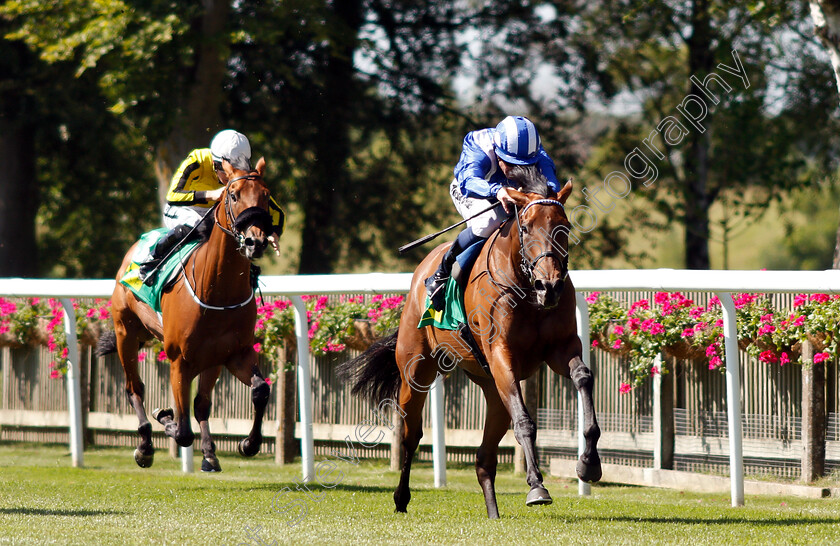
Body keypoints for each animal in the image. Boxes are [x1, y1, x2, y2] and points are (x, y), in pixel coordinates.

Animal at [95, 158, 274, 472]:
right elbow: (182, 431)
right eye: (233, 195)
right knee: (134, 388)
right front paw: (165, 417)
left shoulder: (233, 354)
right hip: (125, 332)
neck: (218, 290)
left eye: (266, 195)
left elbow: (260, 391)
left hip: (208, 359)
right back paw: (145, 446)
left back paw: (210, 454)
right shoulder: (179, 360)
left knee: (201, 404)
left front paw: (248, 444)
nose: (256, 242)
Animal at [338, 181, 600, 516]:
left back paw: (494, 514)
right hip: (416, 372)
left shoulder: (560, 348)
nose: (550, 286)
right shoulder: (501, 355)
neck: (526, 291)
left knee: (484, 459)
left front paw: (589, 464)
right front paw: (536, 486)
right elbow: (524, 422)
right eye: (526, 228)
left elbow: (583, 377)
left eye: (563, 226)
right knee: (411, 436)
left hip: (493, 390)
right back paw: (401, 498)